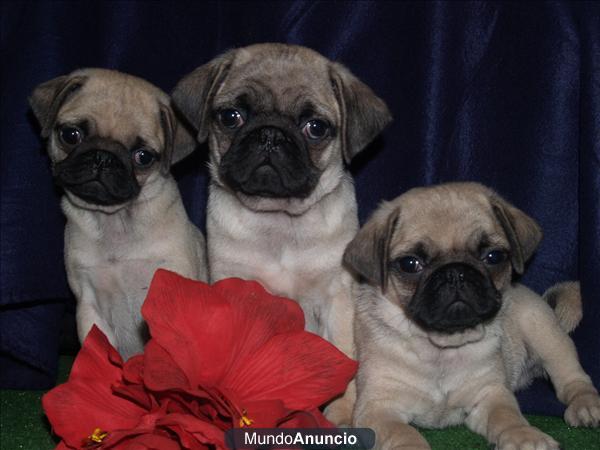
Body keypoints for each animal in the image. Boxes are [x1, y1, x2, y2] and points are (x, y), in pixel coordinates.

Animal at [31, 69, 209, 358]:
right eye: (71, 134)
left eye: (143, 157)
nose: (103, 157)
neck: (115, 220)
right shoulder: (89, 305)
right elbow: (98, 351)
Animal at [171, 44, 392, 424]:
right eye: (231, 117)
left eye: (316, 128)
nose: (270, 134)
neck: (279, 220)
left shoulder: (338, 299)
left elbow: (345, 356)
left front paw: (341, 411)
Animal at [342, 183, 600, 450]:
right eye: (410, 264)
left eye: (494, 257)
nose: (455, 272)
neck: (441, 349)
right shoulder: (378, 408)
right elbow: (404, 434)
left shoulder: (490, 394)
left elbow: (507, 416)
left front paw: (524, 436)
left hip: (544, 331)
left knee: (574, 379)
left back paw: (586, 406)